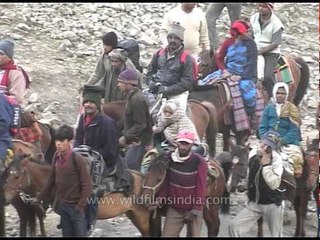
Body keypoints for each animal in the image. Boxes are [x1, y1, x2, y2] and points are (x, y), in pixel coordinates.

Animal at [3, 154, 152, 236]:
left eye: (16, 176)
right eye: (7, 173)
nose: (4, 199)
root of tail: (143, 177)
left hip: (142, 215)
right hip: (132, 213)